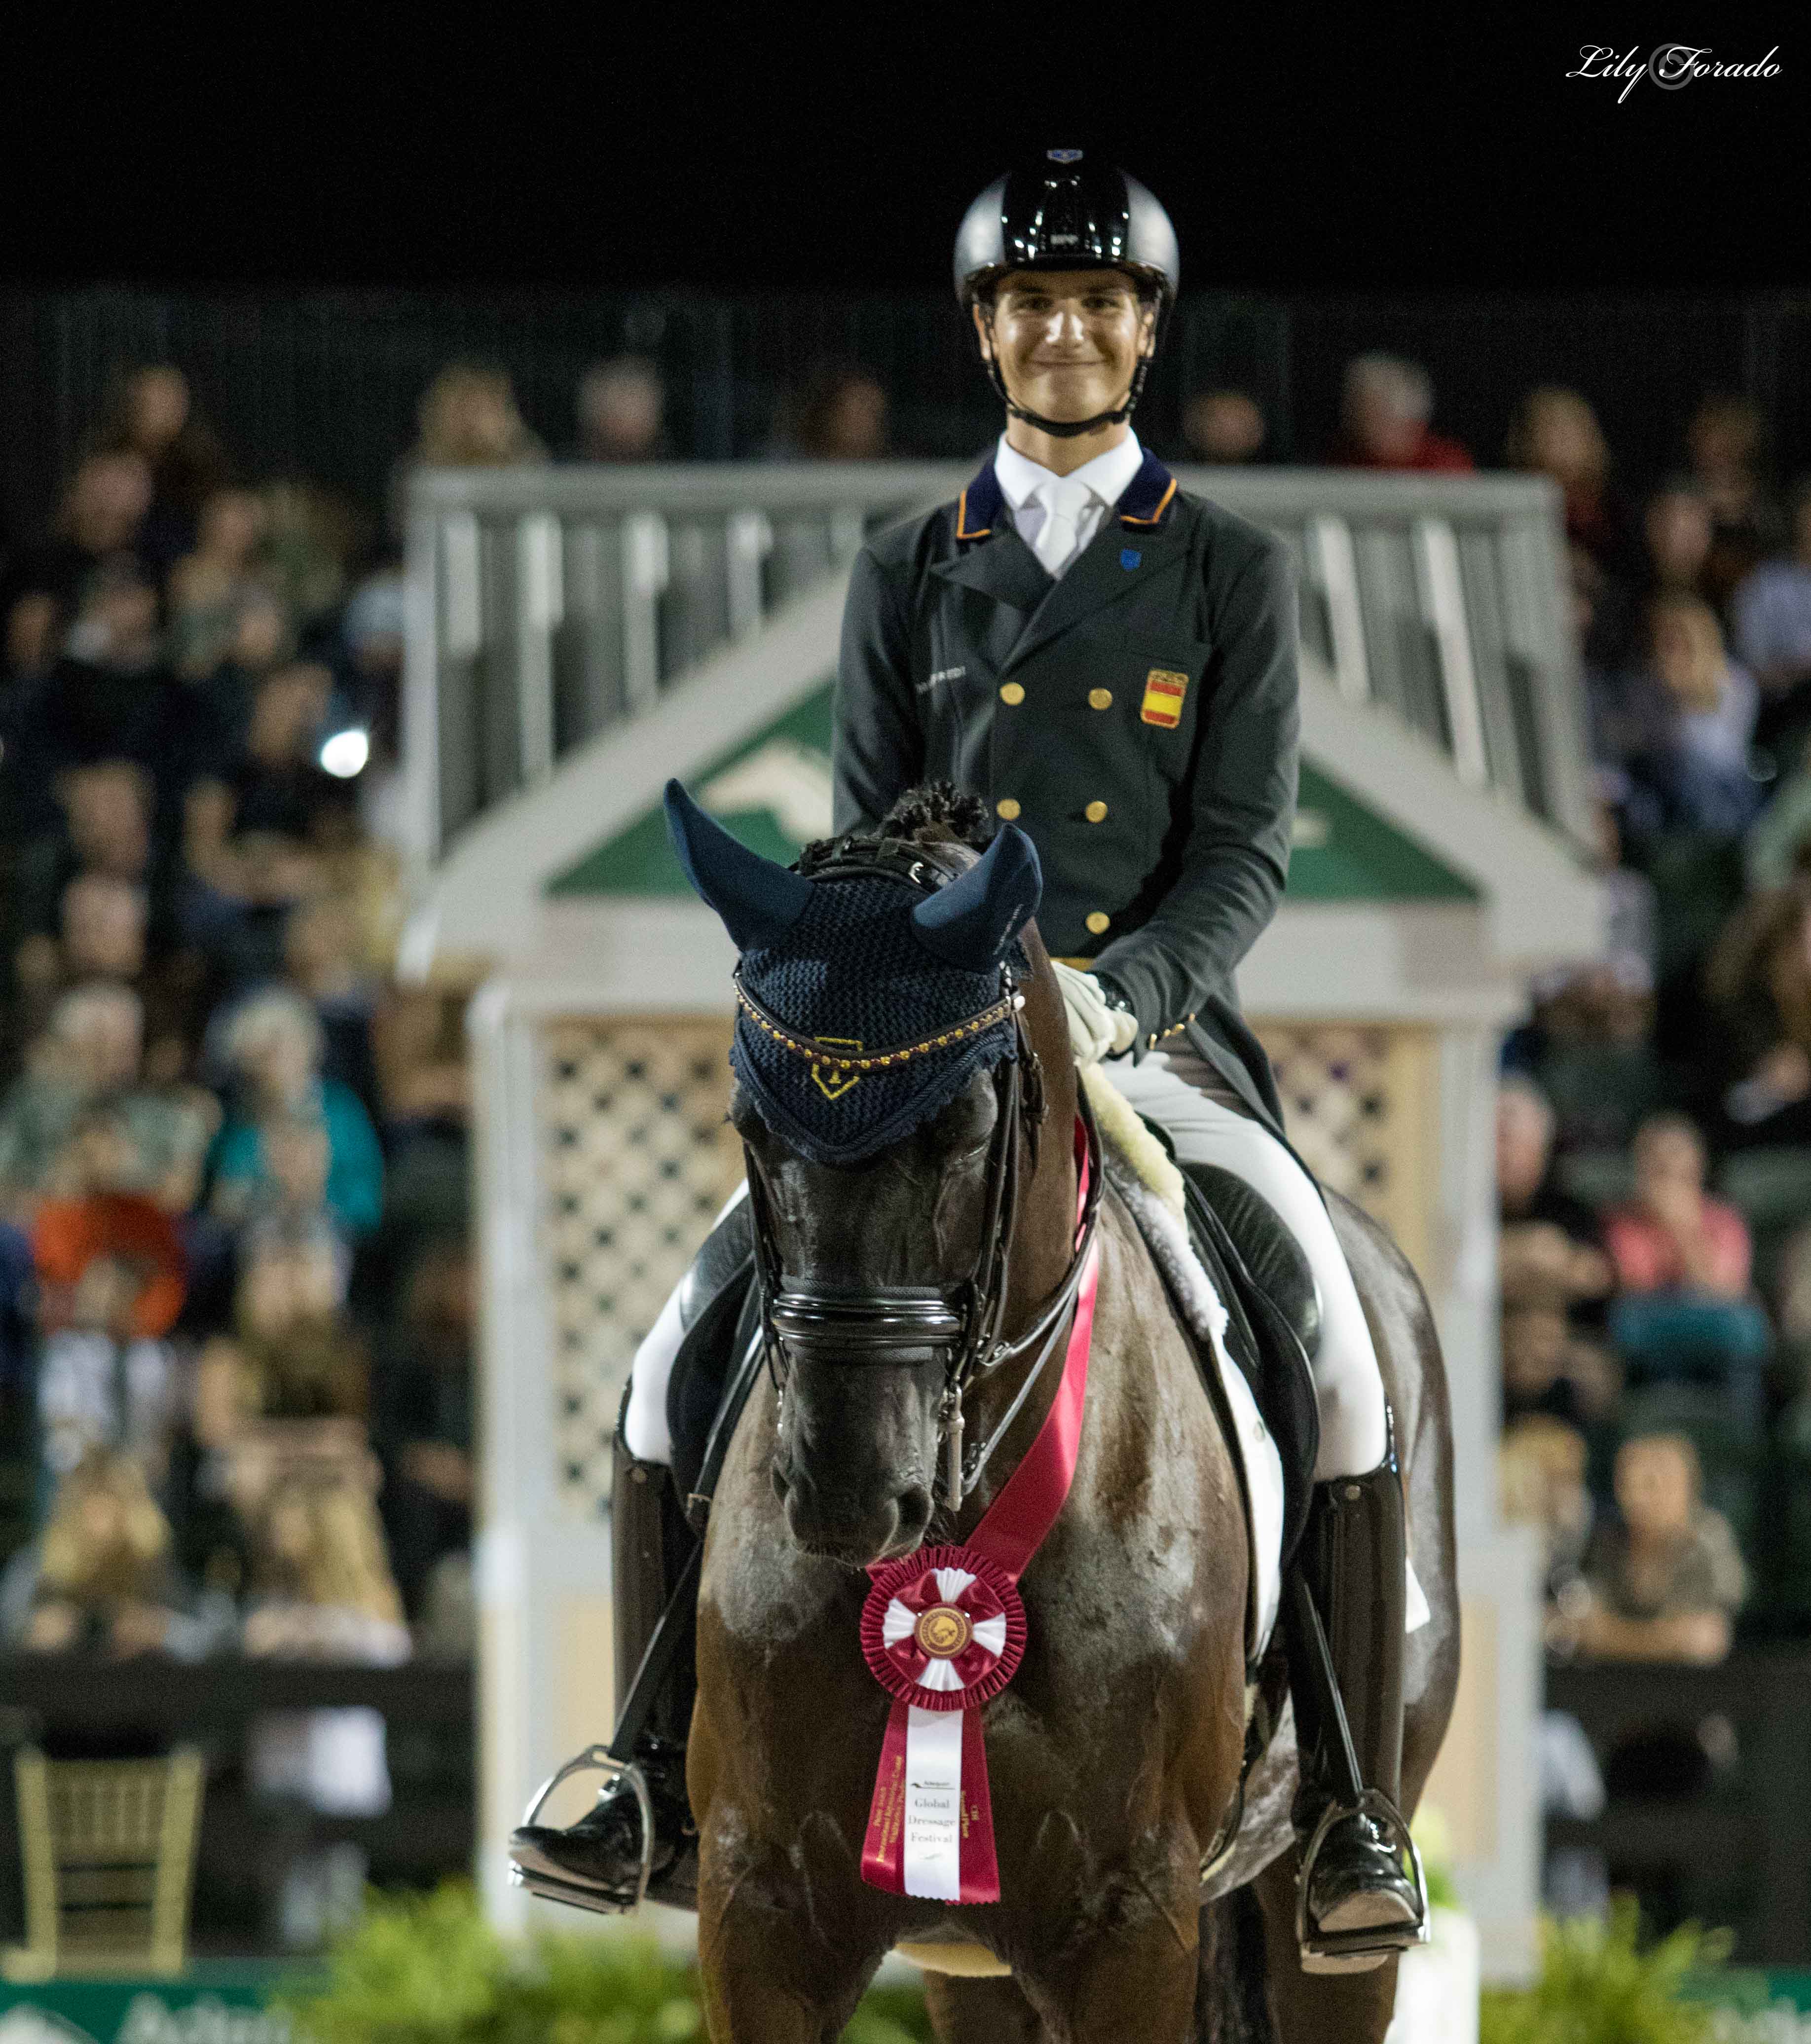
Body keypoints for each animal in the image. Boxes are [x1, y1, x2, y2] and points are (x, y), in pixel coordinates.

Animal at [674, 789, 1472, 2036]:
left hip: (1330, 1937)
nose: (847, 1490)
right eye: (749, 1123)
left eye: (964, 1126)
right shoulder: (755, 1909)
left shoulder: (1130, 1921)